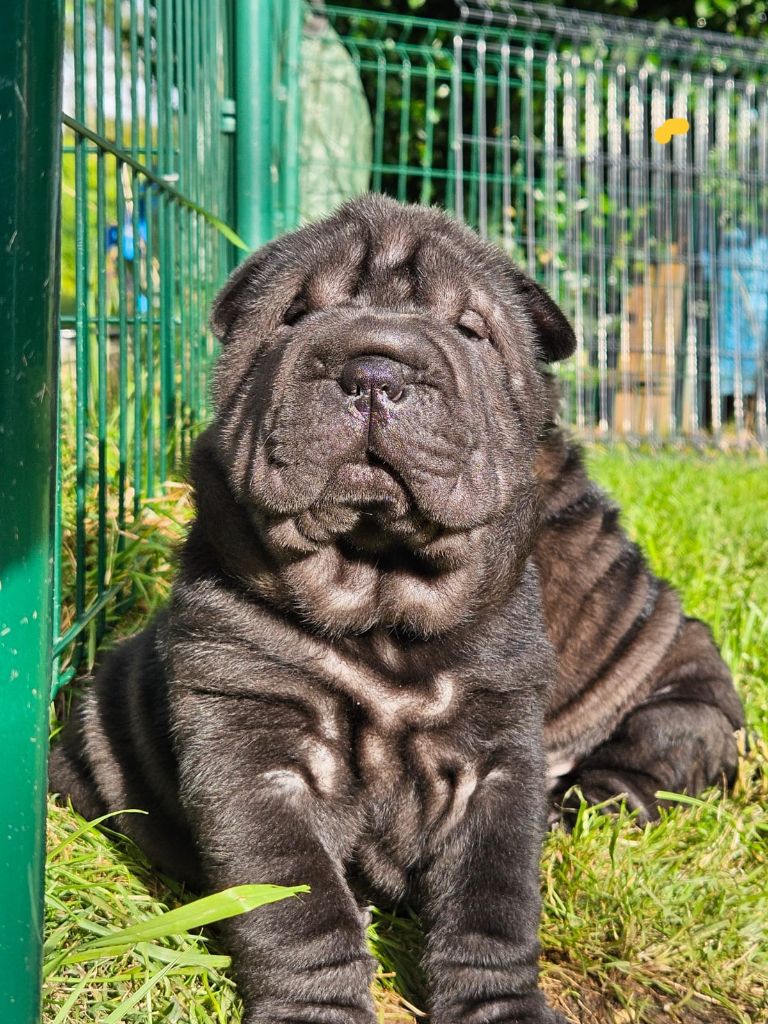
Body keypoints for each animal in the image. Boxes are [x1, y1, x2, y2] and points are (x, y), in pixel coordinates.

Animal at [49, 193, 745, 1024]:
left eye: (472, 329)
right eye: (294, 315)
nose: (375, 367)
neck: (380, 603)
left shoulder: (495, 763)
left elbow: (492, 905)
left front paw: (500, 1006)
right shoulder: (253, 756)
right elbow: (297, 910)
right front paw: (317, 1012)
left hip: (682, 711)